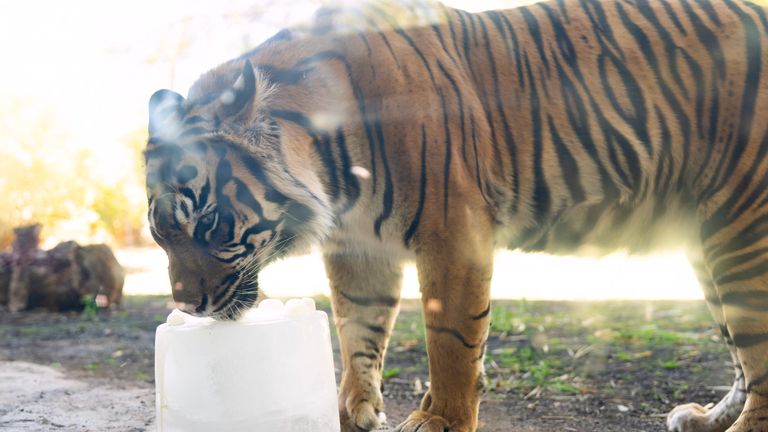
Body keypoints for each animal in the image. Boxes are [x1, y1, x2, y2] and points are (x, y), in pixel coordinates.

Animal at [144, 0, 768, 430]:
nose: (186, 305)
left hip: (743, 229)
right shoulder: (359, 251)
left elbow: (450, 340)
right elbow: (357, 332)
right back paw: (705, 419)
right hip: (707, 240)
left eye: (207, 224)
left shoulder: (453, 234)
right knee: (742, 357)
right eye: (160, 236)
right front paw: (353, 411)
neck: (334, 177)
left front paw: (440, 418)